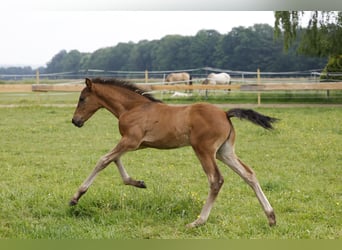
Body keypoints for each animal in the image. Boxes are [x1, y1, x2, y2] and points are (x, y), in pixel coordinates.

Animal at [70, 78, 278, 229]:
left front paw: (76, 197)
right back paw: (271, 217)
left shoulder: (130, 141)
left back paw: (198, 221)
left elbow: (103, 160)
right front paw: (138, 183)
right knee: (248, 174)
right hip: (224, 152)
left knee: (216, 179)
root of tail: (225, 114)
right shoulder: (137, 143)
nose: (75, 121)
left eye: (82, 99)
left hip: (204, 150)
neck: (134, 108)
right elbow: (115, 159)